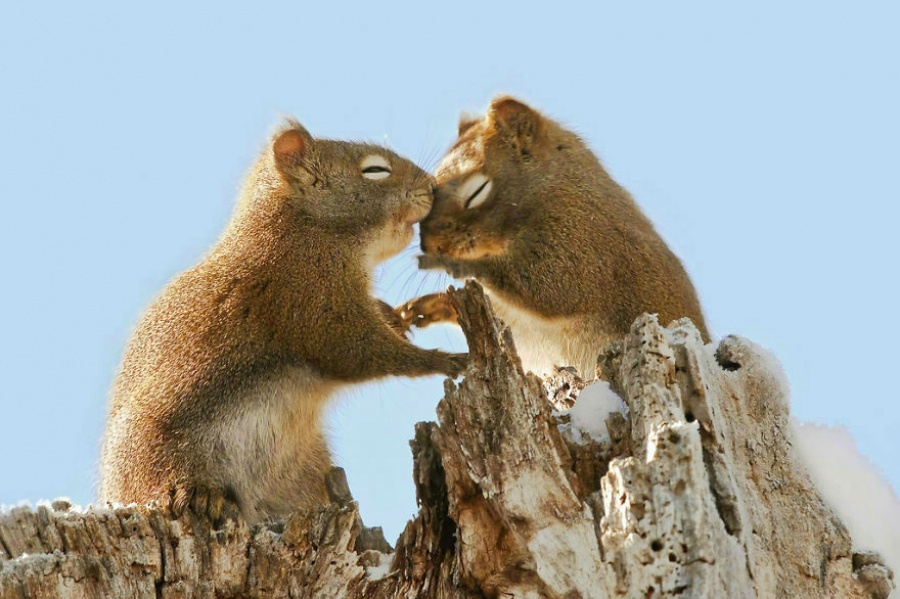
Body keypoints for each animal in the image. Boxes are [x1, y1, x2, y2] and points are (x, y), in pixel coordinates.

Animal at [100, 119, 464, 524]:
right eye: (374, 170)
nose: (432, 186)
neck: (305, 228)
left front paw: (393, 314)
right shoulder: (311, 299)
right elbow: (360, 351)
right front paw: (442, 359)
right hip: (160, 450)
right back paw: (200, 494)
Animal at [398, 97, 708, 380]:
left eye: (476, 191)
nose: (429, 244)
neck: (551, 187)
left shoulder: (584, 242)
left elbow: (550, 289)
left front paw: (449, 263)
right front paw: (428, 306)